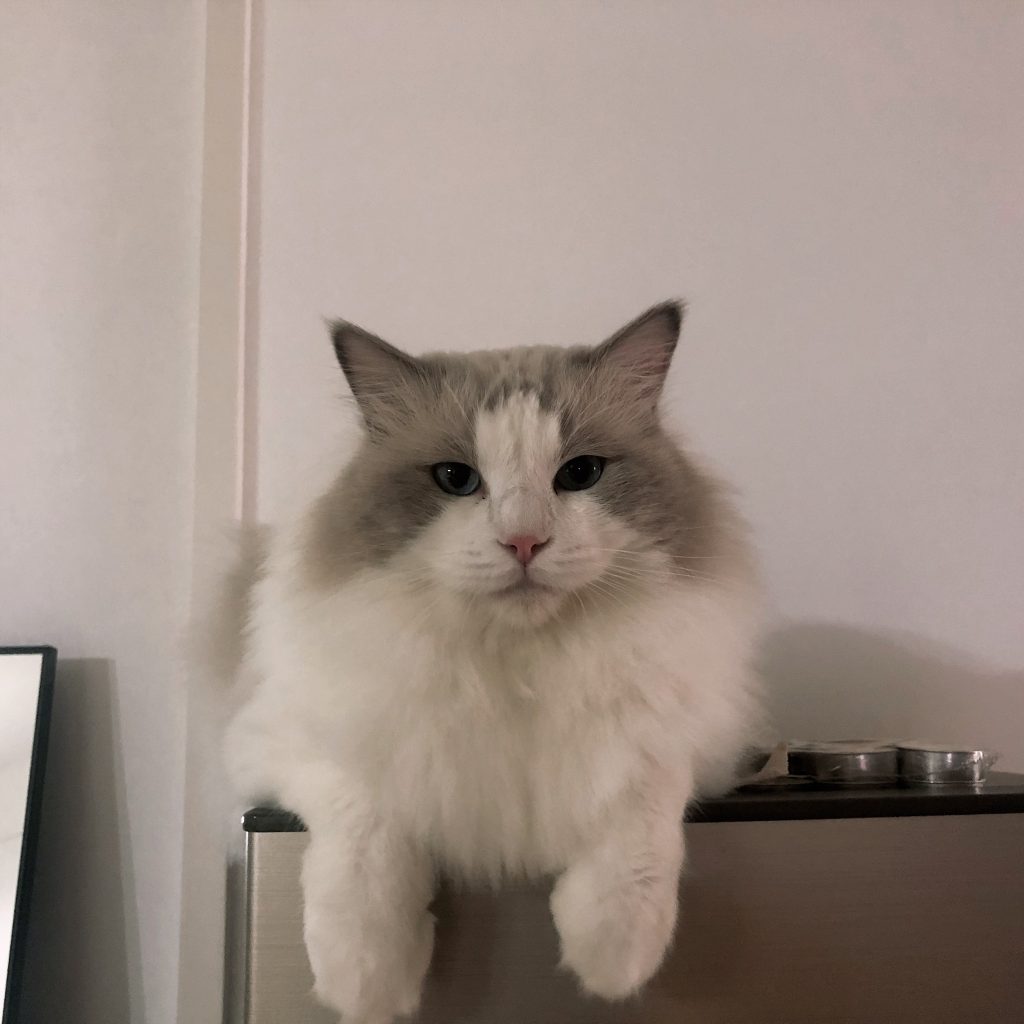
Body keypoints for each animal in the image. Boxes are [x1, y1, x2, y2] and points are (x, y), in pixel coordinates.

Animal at [221, 301, 764, 1023]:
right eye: (457, 479)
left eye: (580, 474)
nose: (524, 541)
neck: (515, 669)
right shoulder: (297, 744)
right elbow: (363, 849)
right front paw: (367, 986)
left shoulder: (674, 748)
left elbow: (637, 831)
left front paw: (613, 963)